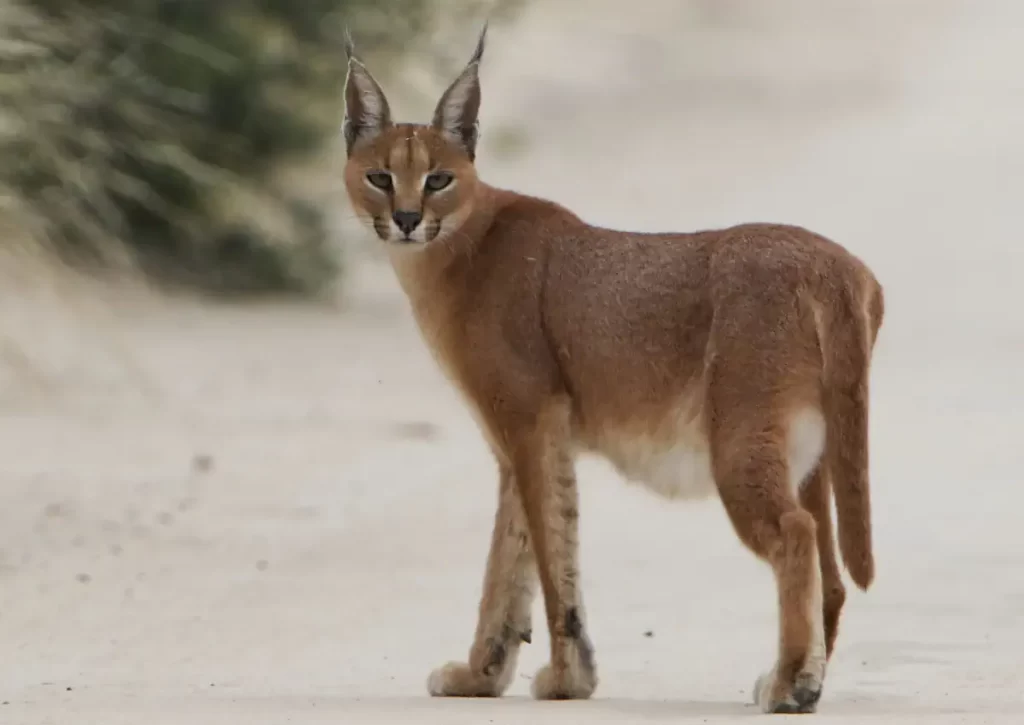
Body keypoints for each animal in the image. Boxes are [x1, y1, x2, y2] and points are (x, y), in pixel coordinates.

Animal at [339, 24, 884, 712]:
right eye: (379, 176)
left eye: (437, 179)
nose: (408, 219)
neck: (453, 249)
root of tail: (836, 262)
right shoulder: (523, 440)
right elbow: (514, 557)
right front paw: (483, 675)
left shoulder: (528, 421)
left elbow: (547, 559)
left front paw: (565, 678)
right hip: (811, 452)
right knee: (832, 572)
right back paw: (801, 679)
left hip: (740, 437)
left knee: (796, 533)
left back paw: (791, 683)